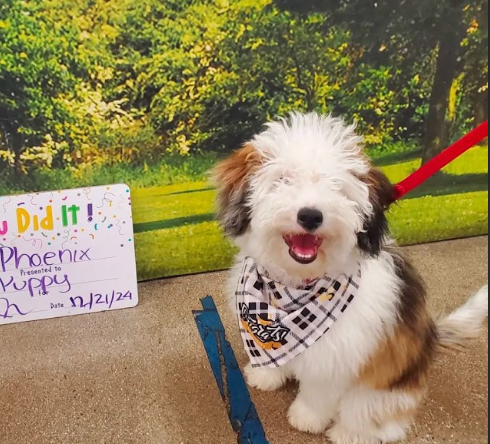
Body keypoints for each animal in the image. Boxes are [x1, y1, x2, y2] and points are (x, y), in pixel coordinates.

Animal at [212, 112, 488, 444]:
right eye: (283, 179)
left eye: (337, 187)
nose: (310, 215)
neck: (293, 287)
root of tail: (430, 338)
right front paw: (265, 375)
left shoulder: (337, 357)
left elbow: (319, 392)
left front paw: (306, 418)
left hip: (383, 386)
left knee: (376, 415)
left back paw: (349, 433)